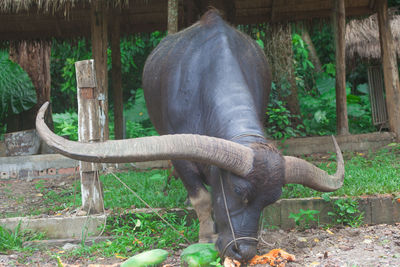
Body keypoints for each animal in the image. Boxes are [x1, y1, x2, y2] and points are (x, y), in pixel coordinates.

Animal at [36, 8, 344, 264]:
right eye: (238, 191)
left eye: (270, 200)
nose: (243, 251)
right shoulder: (181, 155)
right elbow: (202, 198)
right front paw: (206, 237)